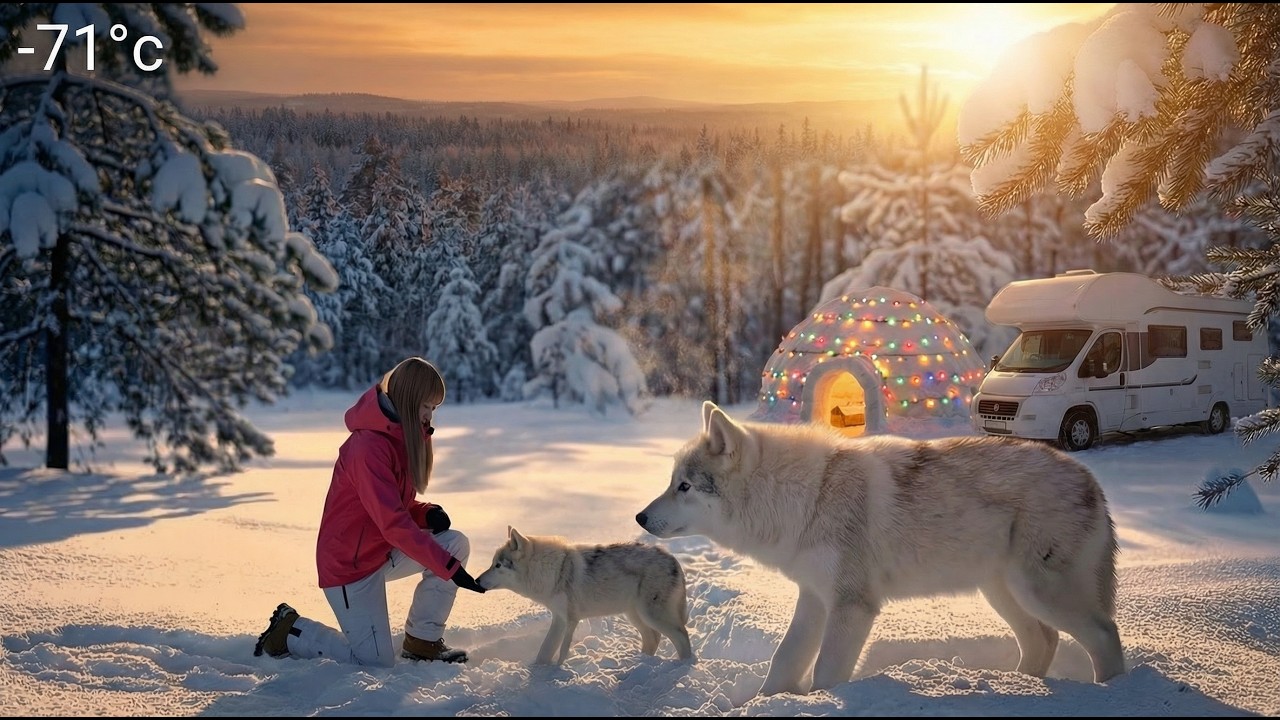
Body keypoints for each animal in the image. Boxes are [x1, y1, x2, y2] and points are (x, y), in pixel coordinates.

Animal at [476, 526, 695, 665]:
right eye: (492, 563)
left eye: (498, 565)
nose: (476, 581)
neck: (554, 570)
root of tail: (673, 560)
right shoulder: (559, 618)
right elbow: (544, 651)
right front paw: (539, 672)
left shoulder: (571, 619)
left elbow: (562, 652)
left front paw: (555, 672)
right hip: (634, 615)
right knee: (653, 638)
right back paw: (640, 661)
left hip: (651, 615)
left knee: (682, 637)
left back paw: (682, 667)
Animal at [636, 401, 1125, 696]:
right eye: (672, 481)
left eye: (684, 486)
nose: (639, 517)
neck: (808, 496)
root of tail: (1090, 479)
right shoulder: (814, 599)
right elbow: (783, 661)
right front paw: (764, 703)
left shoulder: (853, 606)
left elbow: (826, 673)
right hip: (1003, 593)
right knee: (1044, 640)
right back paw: (1017, 689)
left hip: (1038, 592)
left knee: (1104, 636)